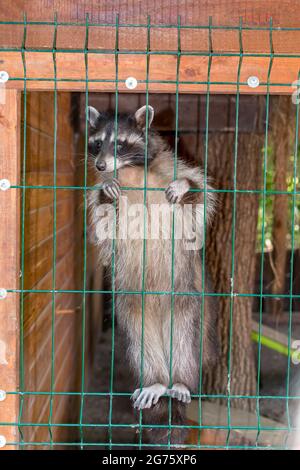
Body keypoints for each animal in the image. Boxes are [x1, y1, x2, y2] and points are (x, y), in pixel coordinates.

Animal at [86, 104, 218, 446]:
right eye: (96, 143)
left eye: (119, 144)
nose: (100, 164)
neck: (130, 171)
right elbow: (101, 223)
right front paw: (106, 191)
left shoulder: (169, 166)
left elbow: (202, 195)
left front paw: (186, 187)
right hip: (131, 301)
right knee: (139, 336)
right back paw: (155, 380)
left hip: (188, 296)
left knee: (186, 335)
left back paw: (181, 381)